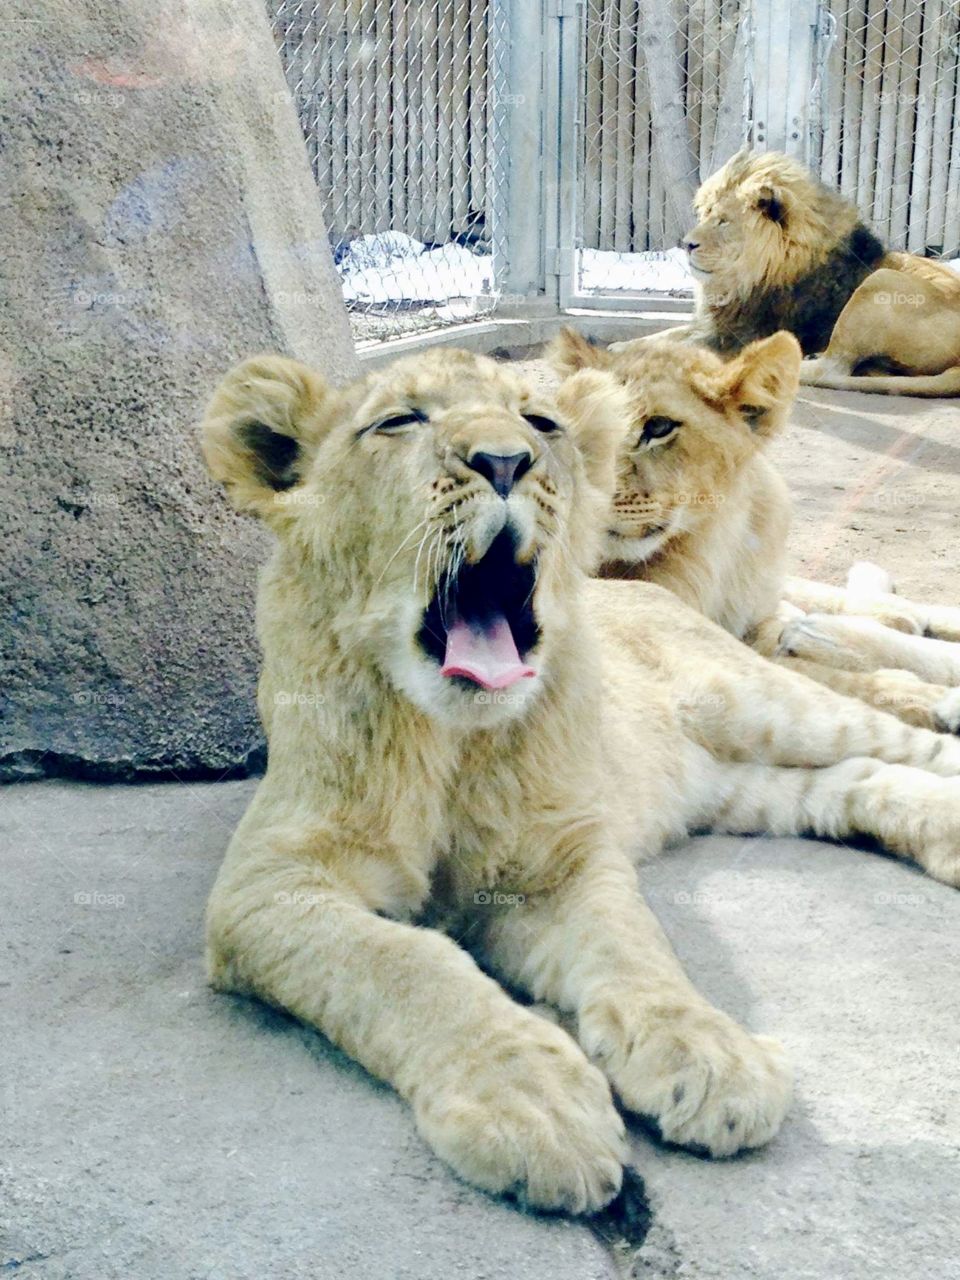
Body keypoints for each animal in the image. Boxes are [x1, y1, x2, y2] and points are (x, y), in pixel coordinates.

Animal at [616, 148, 960, 398]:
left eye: (724, 221)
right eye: (706, 214)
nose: (687, 244)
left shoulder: (737, 336)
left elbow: (670, 345)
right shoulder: (719, 325)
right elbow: (661, 337)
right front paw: (620, 347)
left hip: (880, 283)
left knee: (831, 369)